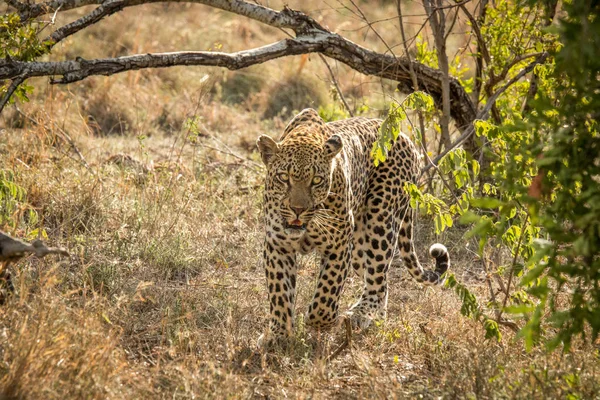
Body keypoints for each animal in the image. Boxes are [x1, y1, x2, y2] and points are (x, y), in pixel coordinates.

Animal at [255, 108, 448, 336]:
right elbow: (280, 292)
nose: (298, 209)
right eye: (284, 177)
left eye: (316, 180)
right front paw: (279, 335)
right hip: (358, 249)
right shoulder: (277, 244)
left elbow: (327, 291)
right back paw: (373, 316)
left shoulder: (338, 246)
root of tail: (404, 136)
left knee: (378, 276)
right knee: (380, 279)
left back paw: (362, 314)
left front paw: (321, 323)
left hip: (380, 218)